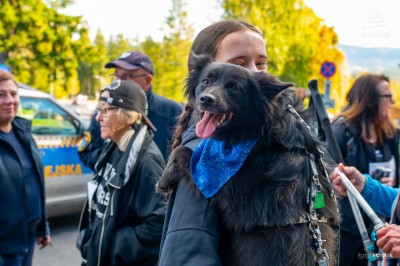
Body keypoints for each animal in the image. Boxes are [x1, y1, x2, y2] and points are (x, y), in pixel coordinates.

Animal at [158, 55, 340, 264]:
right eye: (206, 81)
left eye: (235, 88)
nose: (206, 99)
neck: (264, 131)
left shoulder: (232, 188)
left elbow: (183, 152)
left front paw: (164, 179)